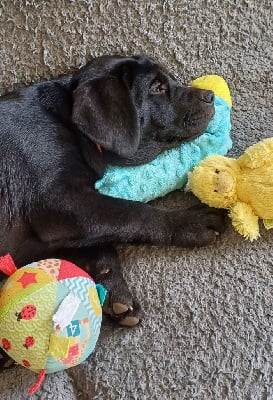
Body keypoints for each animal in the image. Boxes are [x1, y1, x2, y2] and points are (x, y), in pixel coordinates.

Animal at [0, 54, 223, 328]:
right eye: (157, 87)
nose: (210, 95)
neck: (71, 124)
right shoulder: (57, 201)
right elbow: (133, 212)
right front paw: (190, 223)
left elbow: (99, 239)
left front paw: (111, 285)